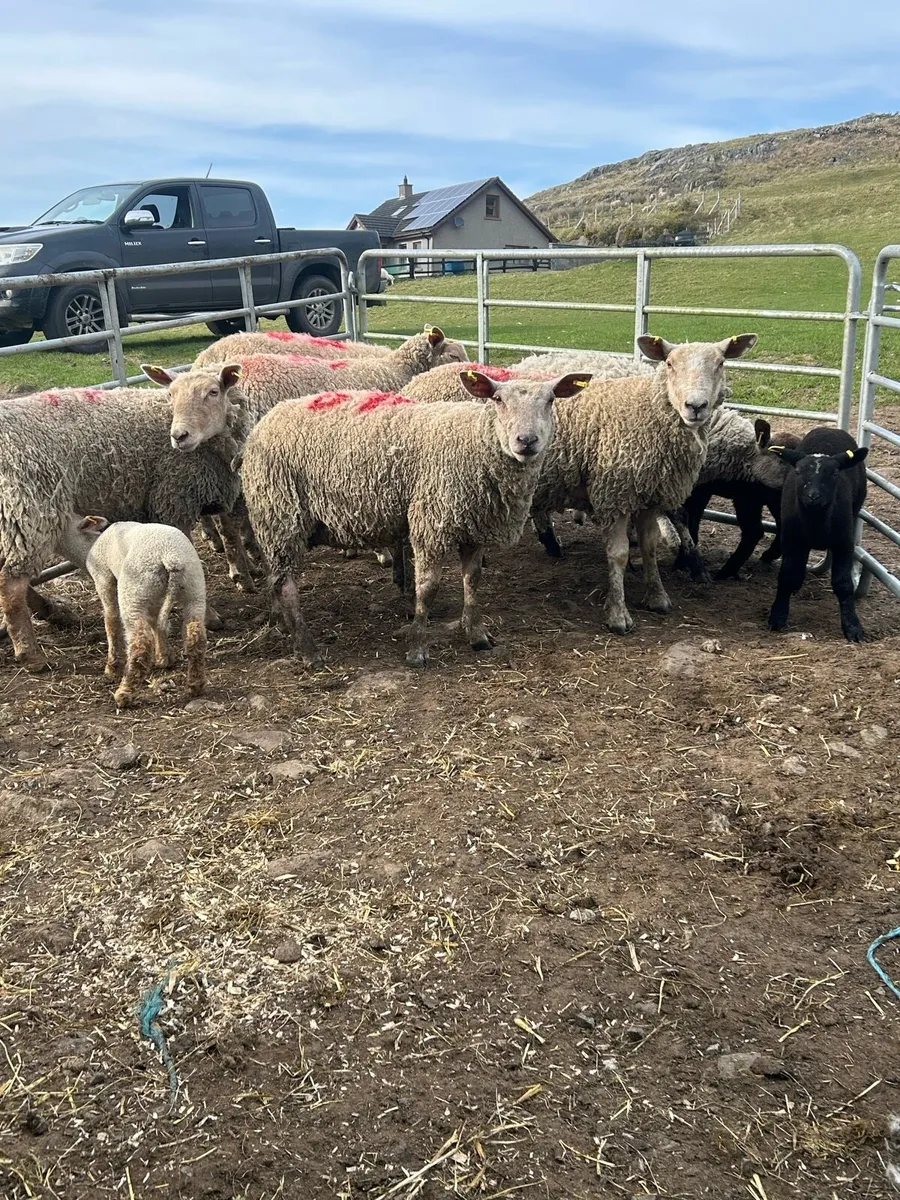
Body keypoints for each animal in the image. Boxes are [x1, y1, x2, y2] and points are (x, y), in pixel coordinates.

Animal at [0, 365, 247, 672]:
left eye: (213, 392)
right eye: (170, 394)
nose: (179, 436)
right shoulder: (172, 500)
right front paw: (210, 615)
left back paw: (54, 613)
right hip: (29, 509)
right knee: (10, 584)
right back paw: (30, 654)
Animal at [55, 516, 207, 708]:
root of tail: (171, 559)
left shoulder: (103, 578)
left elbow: (111, 620)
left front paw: (112, 667)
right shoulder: (155, 598)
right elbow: (156, 623)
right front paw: (163, 658)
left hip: (134, 591)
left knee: (140, 644)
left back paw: (124, 694)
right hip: (193, 589)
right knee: (195, 635)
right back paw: (196, 685)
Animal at [240, 371, 591, 669]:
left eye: (551, 400)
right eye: (497, 399)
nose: (526, 441)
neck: (475, 443)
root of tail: (265, 421)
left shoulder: (474, 528)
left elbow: (473, 581)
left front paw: (477, 635)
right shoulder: (430, 522)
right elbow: (428, 587)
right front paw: (417, 649)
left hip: (273, 520)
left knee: (275, 581)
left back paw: (283, 629)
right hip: (280, 513)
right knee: (286, 586)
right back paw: (309, 651)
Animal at [529, 333, 758, 633]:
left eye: (721, 363)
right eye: (670, 363)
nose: (695, 406)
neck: (646, 408)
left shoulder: (651, 492)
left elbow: (651, 547)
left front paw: (658, 595)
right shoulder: (614, 495)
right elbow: (620, 553)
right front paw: (618, 613)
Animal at [765, 426, 868, 642]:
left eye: (835, 472)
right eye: (798, 471)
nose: (813, 496)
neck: (816, 523)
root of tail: (829, 428)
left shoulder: (844, 543)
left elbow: (843, 584)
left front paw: (852, 627)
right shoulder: (791, 539)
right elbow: (786, 575)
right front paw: (778, 616)